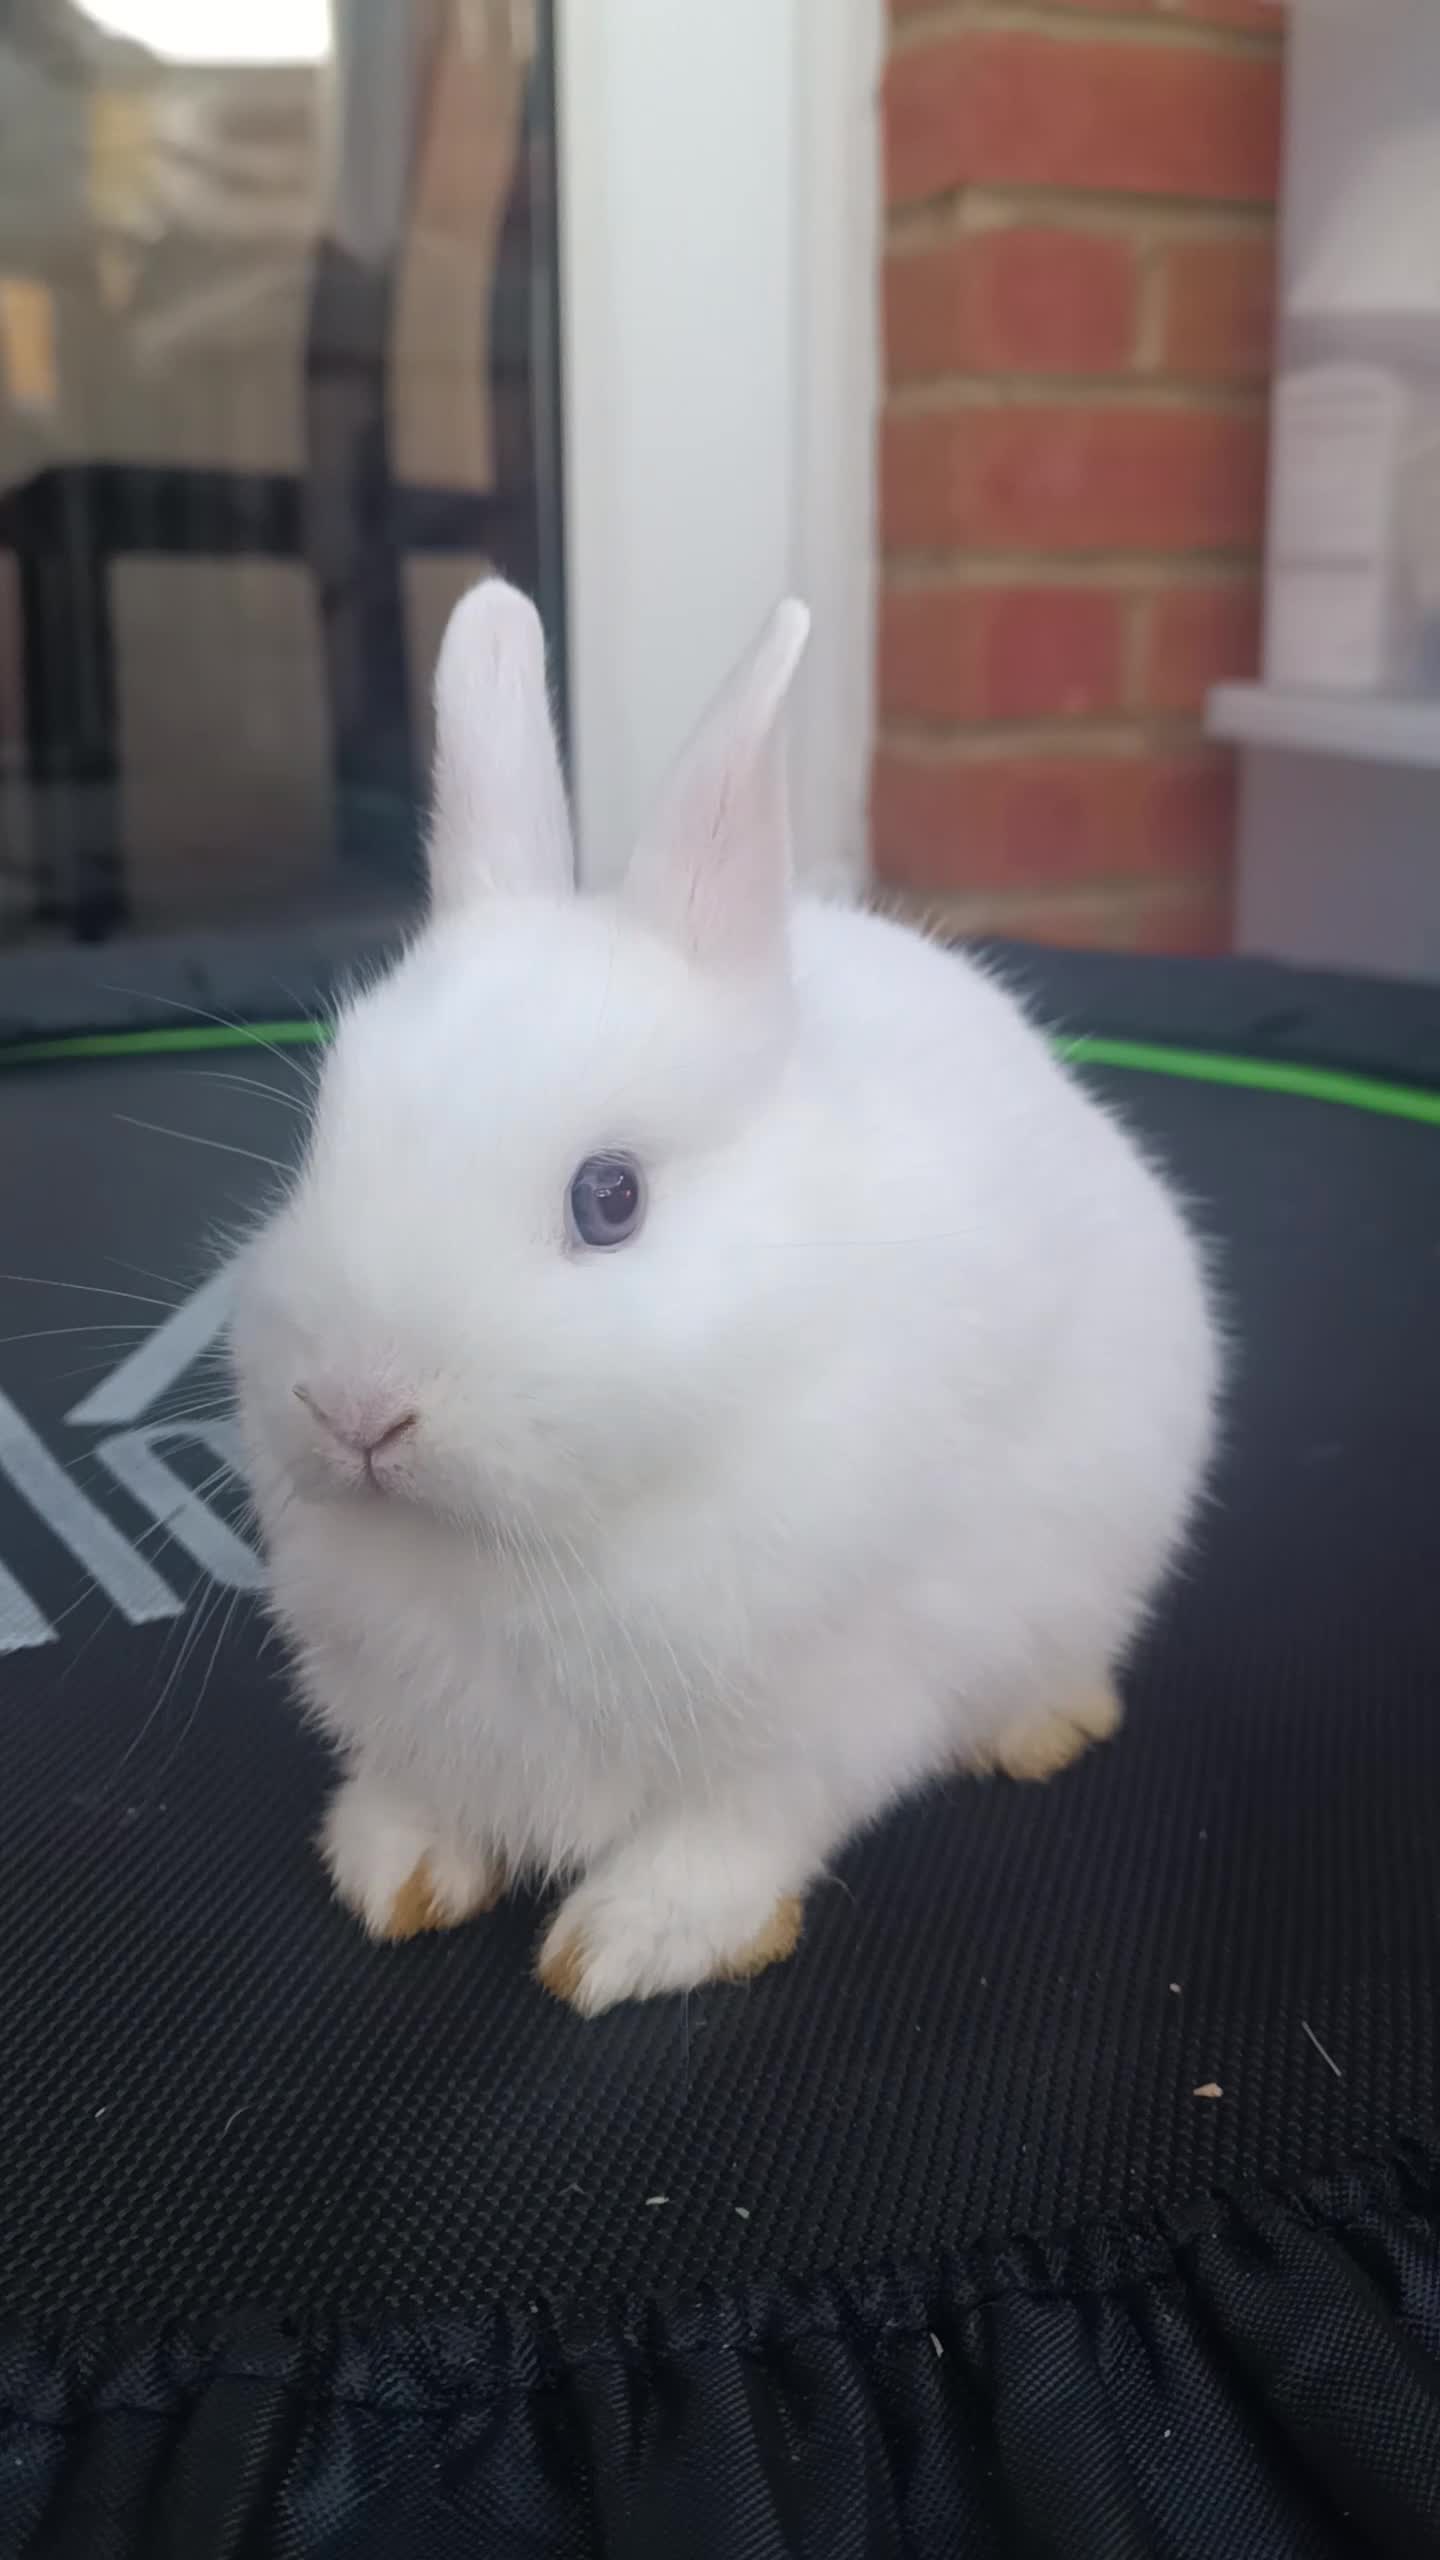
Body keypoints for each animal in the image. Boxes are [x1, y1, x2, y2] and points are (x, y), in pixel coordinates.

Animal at [230, 578, 1219, 2016]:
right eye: (322, 1137)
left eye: (611, 1198)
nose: (358, 1410)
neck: (526, 1542)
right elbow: (423, 1794)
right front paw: (393, 1869)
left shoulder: (815, 1713)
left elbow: (732, 1836)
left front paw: (632, 1942)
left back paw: (1042, 1727)